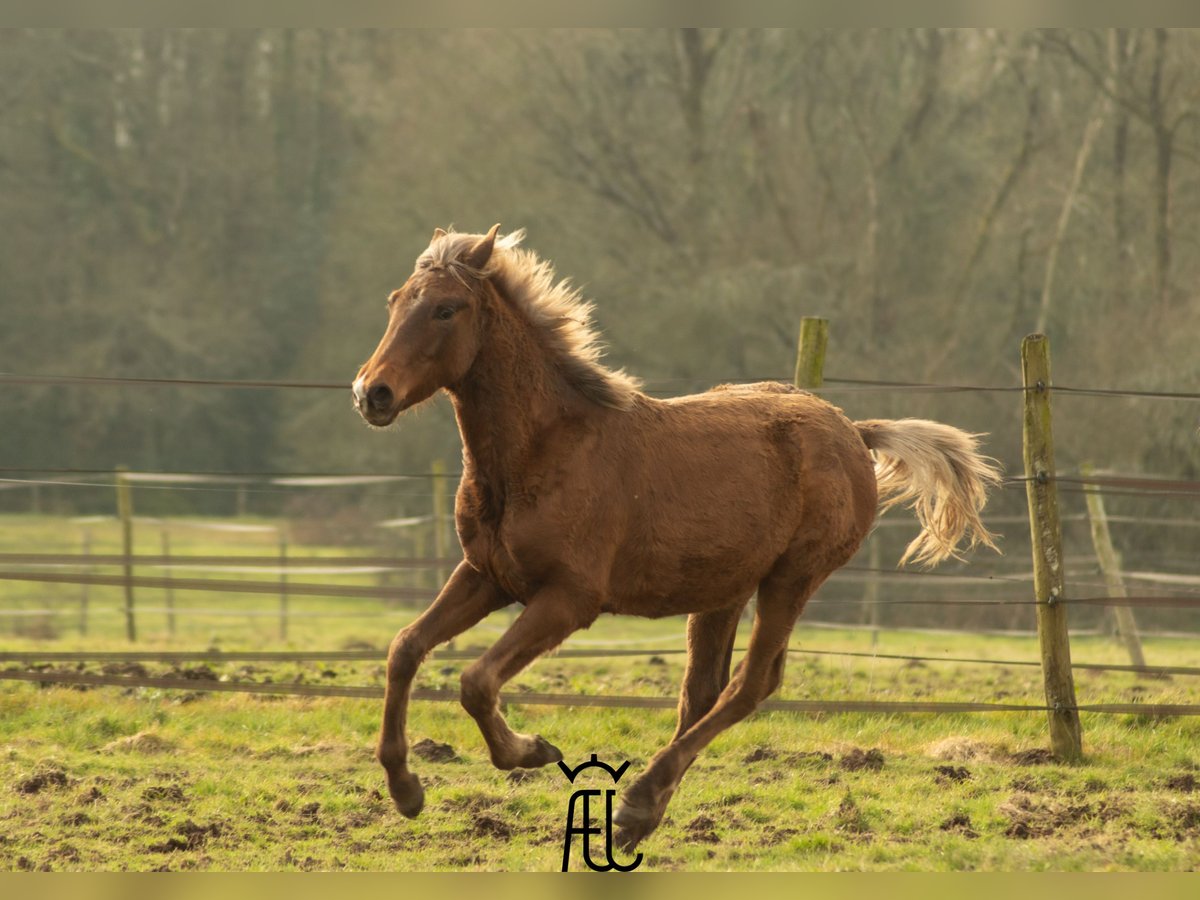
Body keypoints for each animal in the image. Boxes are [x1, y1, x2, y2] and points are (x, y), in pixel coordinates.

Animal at [350, 226, 1003, 854]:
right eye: (395, 301)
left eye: (446, 309)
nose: (370, 393)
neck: (541, 451)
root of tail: (853, 430)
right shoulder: (487, 575)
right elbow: (406, 647)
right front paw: (405, 789)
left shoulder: (569, 598)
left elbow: (477, 680)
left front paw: (532, 751)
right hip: (723, 591)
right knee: (702, 693)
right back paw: (638, 820)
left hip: (791, 579)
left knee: (751, 684)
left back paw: (638, 801)